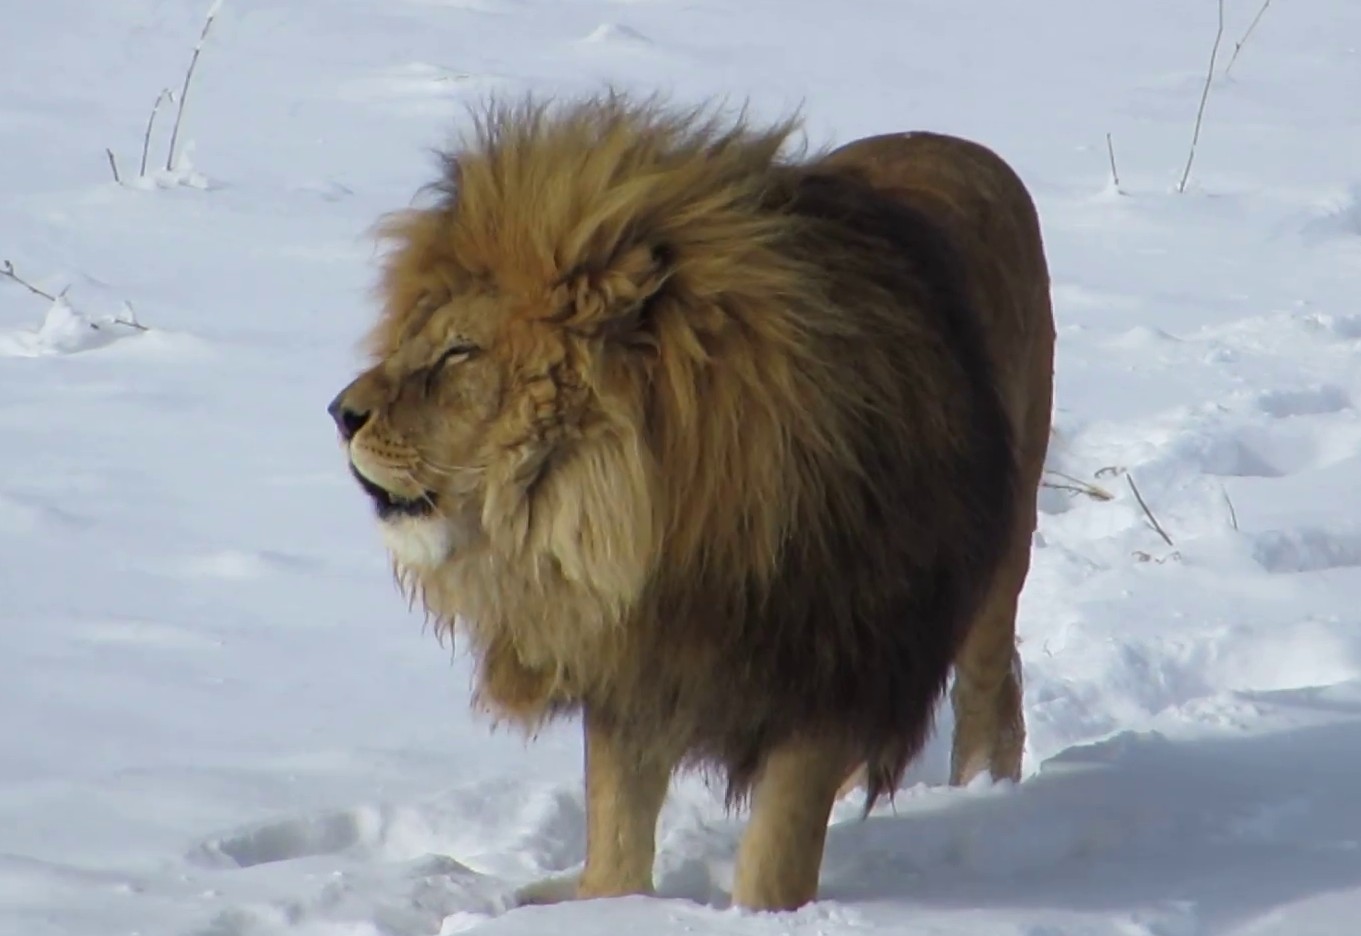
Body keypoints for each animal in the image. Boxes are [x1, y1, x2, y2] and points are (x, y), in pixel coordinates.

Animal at [326, 95, 1050, 914]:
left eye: (459, 353)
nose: (340, 414)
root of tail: (956, 143)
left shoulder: (828, 667)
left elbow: (774, 857)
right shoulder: (635, 665)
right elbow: (615, 833)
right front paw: (603, 907)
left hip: (998, 559)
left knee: (991, 689)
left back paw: (981, 794)